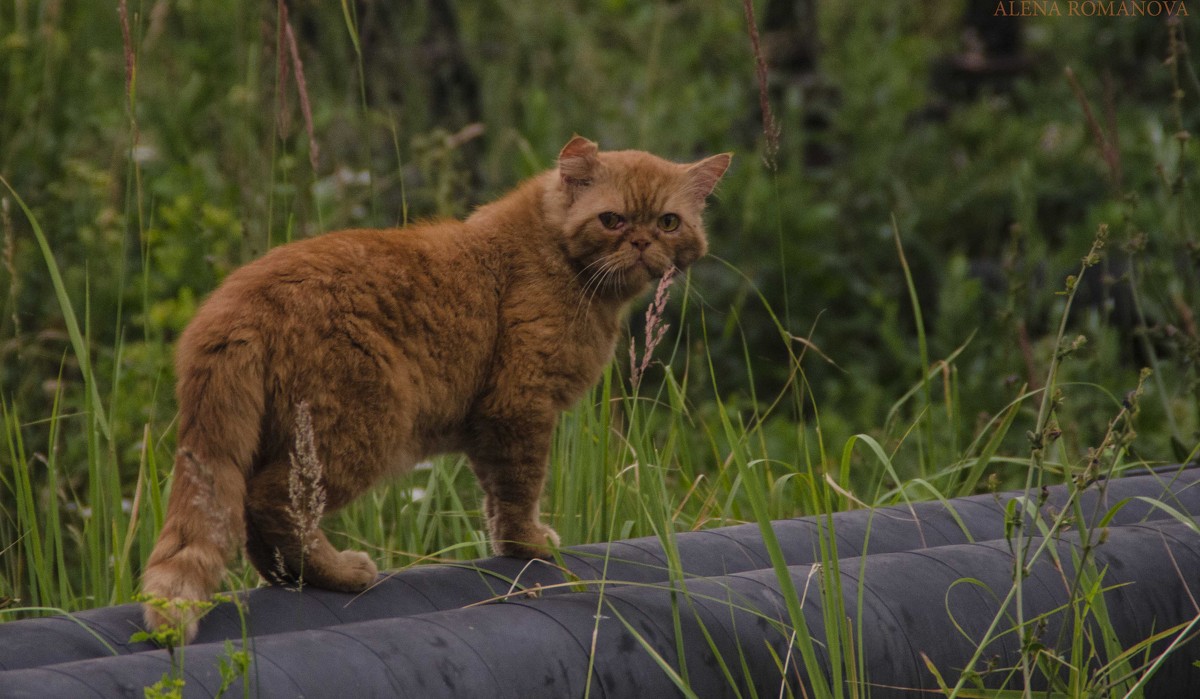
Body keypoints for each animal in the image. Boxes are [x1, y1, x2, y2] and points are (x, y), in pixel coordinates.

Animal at [136, 134, 724, 643]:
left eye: (668, 222)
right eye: (613, 219)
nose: (643, 241)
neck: (556, 254)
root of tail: (232, 306)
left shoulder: (489, 424)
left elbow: (496, 495)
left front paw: (512, 543)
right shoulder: (521, 405)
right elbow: (521, 488)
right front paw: (529, 545)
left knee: (254, 524)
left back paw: (292, 580)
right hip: (356, 430)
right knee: (273, 502)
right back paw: (340, 573)